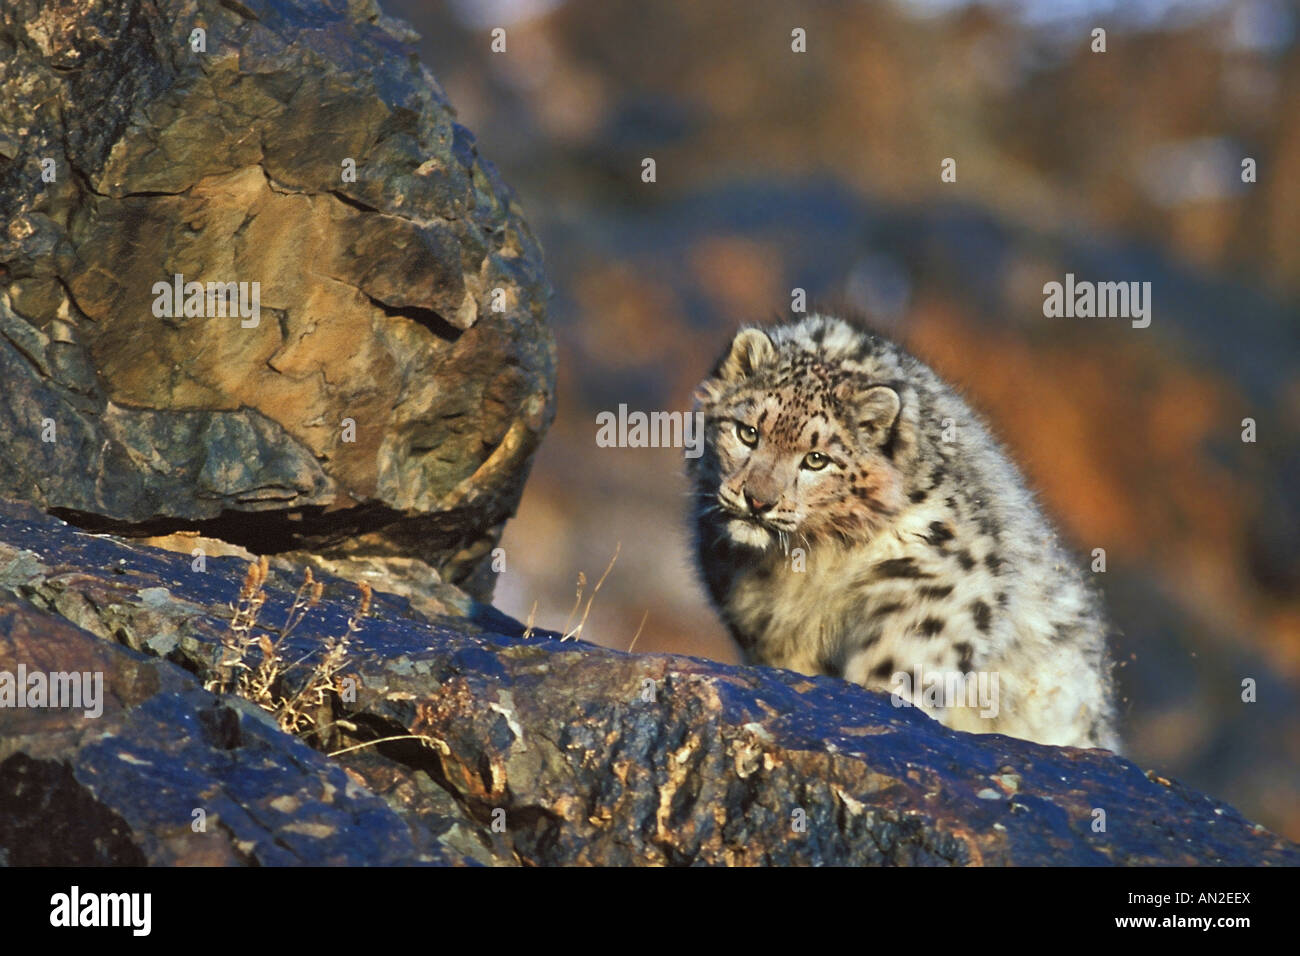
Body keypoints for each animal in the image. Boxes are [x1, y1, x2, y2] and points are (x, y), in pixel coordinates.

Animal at [686, 317, 1123, 749]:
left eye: (816, 459)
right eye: (747, 432)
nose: (758, 501)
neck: (803, 569)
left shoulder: (938, 577)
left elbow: (904, 660)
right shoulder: (765, 622)